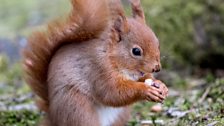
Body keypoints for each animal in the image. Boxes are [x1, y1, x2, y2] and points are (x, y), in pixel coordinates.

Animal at [23, 0, 168, 125]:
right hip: (78, 108)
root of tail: (53, 118)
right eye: (136, 51)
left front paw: (161, 85)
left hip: (120, 115)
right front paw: (145, 90)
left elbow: (144, 78)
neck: (110, 54)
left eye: (158, 43)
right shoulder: (98, 69)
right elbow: (112, 93)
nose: (157, 68)